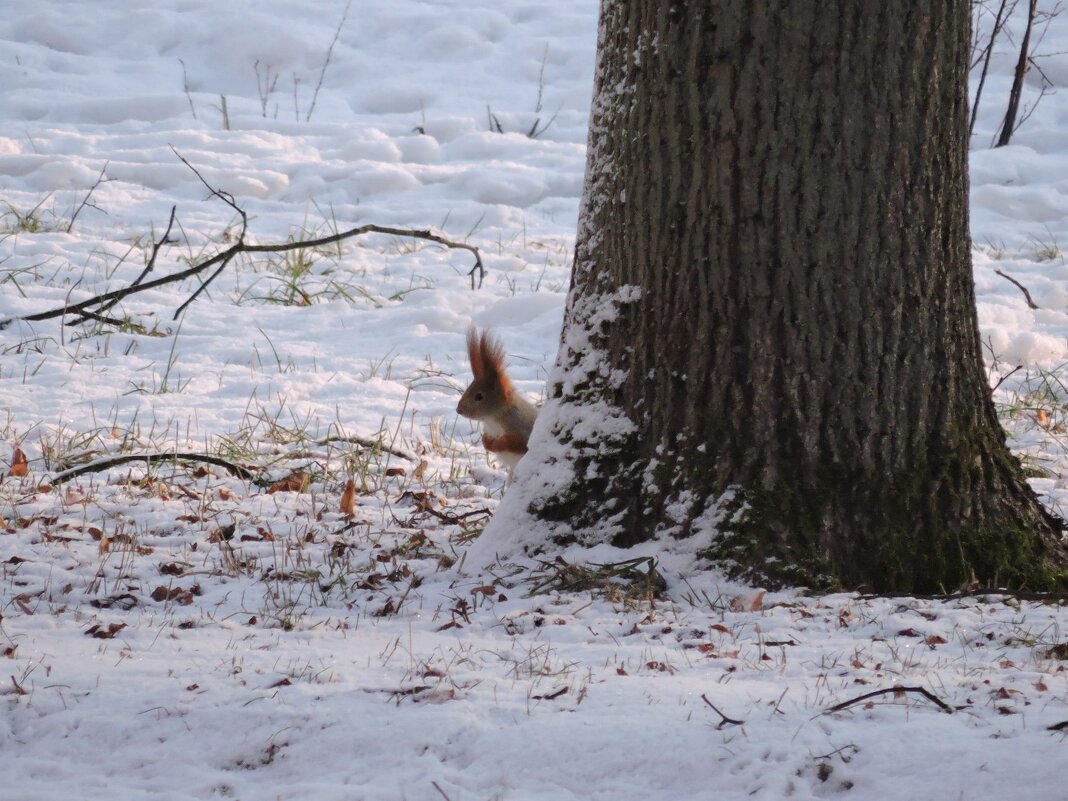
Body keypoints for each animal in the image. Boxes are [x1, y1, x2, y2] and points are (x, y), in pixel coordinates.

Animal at [457, 324, 538, 480]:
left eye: (479, 396)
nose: (459, 410)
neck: (492, 421)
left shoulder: (523, 429)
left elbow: (517, 444)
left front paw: (497, 444)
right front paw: (486, 441)